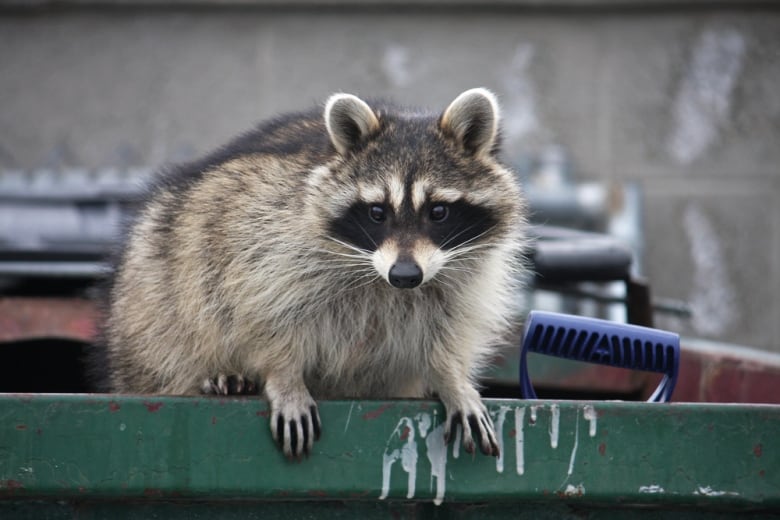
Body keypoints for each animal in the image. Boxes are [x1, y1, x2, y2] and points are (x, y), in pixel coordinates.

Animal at [97, 88, 524, 460]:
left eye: (438, 212)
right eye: (376, 212)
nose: (405, 275)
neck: (380, 278)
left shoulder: (461, 275)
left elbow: (448, 328)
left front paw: (452, 378)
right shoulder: (264, 235)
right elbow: (263, 312)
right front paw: (283, 375)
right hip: (154, 289)